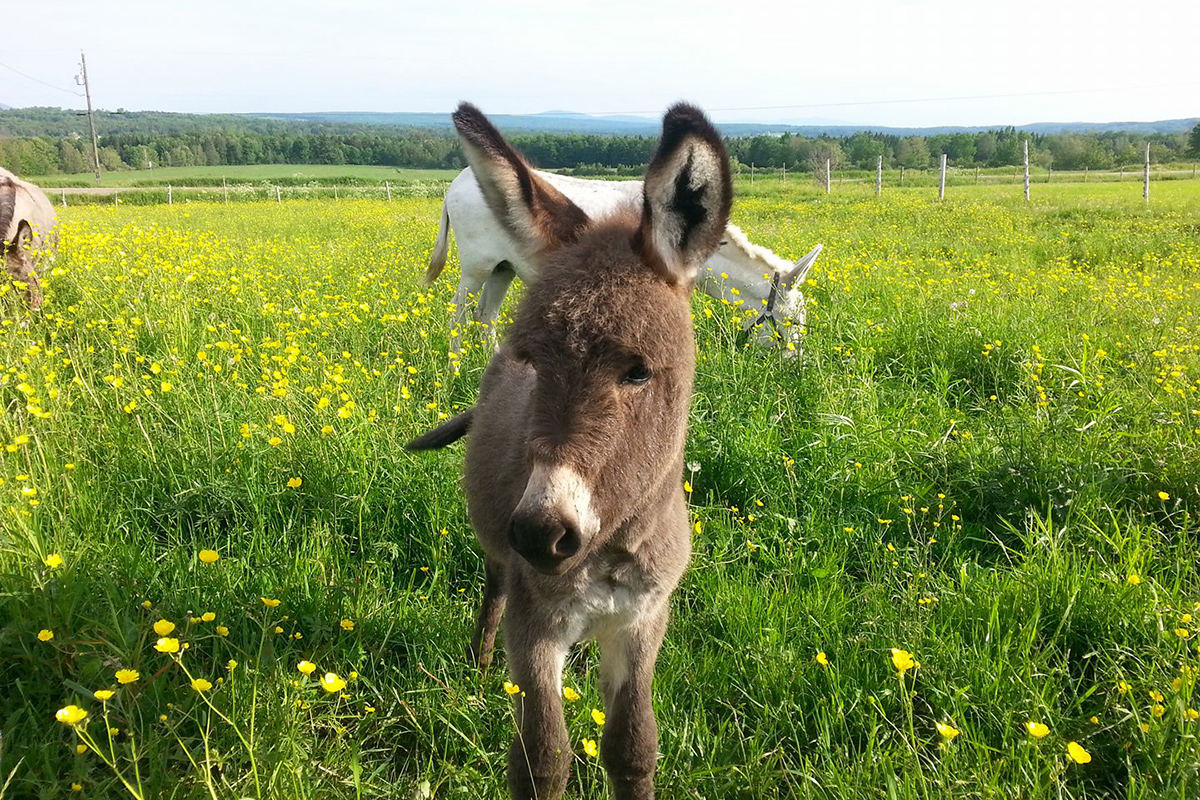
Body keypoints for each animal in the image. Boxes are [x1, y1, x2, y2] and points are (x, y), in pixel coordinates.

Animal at [410, 103, 729, 796]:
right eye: (534, 361)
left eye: (638, 372)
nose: (541, 532)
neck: (608, 550)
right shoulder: (536, 630)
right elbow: (542, 760)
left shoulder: (643, 620)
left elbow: (633, 748)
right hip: (499, 557)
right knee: (494, 588)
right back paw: (478, 665)